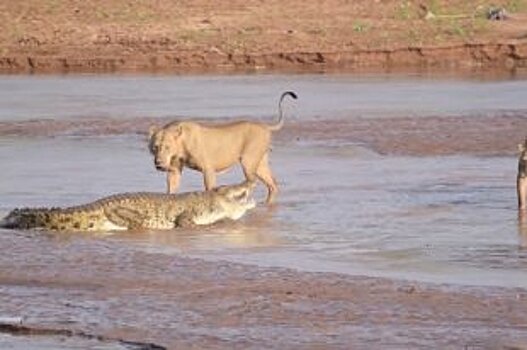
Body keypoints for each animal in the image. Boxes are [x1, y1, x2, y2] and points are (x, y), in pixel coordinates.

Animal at [148, 91, 300, 204]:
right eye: (155, 147)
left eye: (167, 147)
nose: (159, 163)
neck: (181, 146)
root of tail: (264, 126)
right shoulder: (174, 169)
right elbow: (171, 189)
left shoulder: (208, 169)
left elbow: (209, 188)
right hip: (260, 163)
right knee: (272, 184)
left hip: (248, 161)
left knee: (252, 181)